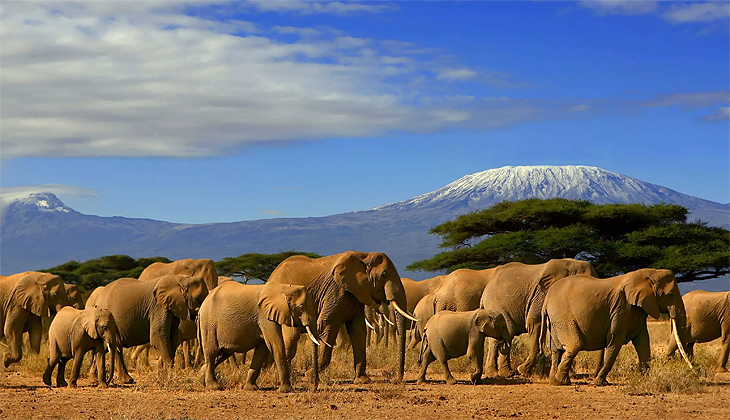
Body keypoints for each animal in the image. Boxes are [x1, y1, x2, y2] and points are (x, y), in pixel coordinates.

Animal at [266, 249, 416, 384]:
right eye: (384, 274)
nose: (398, 379)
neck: (364, 255)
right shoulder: (336, 291)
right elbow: (327, 326)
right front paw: (309, 376)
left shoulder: (356, 293)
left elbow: (358, 330)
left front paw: (362, 380)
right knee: (291, 339)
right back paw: (277, 378)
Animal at [540, 268, 688, 386]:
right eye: (670, 295)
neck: (649, 273)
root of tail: (546, 301)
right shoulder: (621, 307)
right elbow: (615, 341)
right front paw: (599, 383)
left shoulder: (637, 310)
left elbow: (643, 342)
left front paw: (645, 380)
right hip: (562, 315)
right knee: (574, 346)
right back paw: (560, 382)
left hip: (555, 320)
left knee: (556, 349)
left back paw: (555, 381)